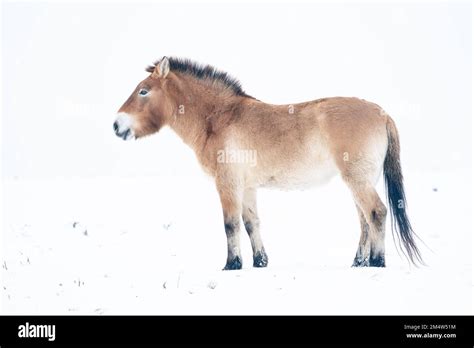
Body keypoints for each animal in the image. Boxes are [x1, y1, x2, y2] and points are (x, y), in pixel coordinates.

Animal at [114, 56, 422, 270]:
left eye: (143, 91)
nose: (117, 125)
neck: (219, 118)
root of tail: (382, 113)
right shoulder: (247, 187)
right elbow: (251, 223)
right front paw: (260, 262)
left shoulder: (228, 184)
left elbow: (230, 224)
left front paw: (232, 265)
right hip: (359, 180)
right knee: (364, 220)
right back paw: (359, 263)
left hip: (358, 180)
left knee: (376, 213)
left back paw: (377, 262)